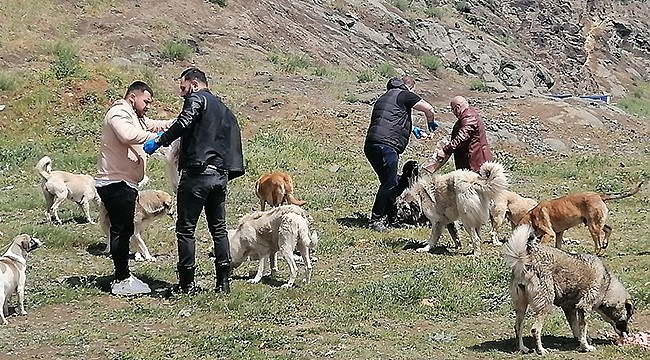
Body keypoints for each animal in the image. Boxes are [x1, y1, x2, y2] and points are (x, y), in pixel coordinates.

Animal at [502, 225, 632, 354]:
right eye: (627, 318)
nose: (628, 333)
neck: (606, 285)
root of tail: (525, 258)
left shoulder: (570, 309)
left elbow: (576, 328)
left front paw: (581, 342)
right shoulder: (584, 307)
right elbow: (583, 328)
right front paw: (586, 346)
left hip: (521, 306)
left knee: (518, 327)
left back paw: (522, 348)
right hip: (545, 304)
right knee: (535, 329)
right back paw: (541, 350)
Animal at [512, 180, 640, 253]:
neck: (532, 217)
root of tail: (599, 195)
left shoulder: (549, 234)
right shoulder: (559, 234)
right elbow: (558, 246)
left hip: (593, 227)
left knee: (598, 246)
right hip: (594, 222)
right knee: (608, 229)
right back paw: (605, 243)